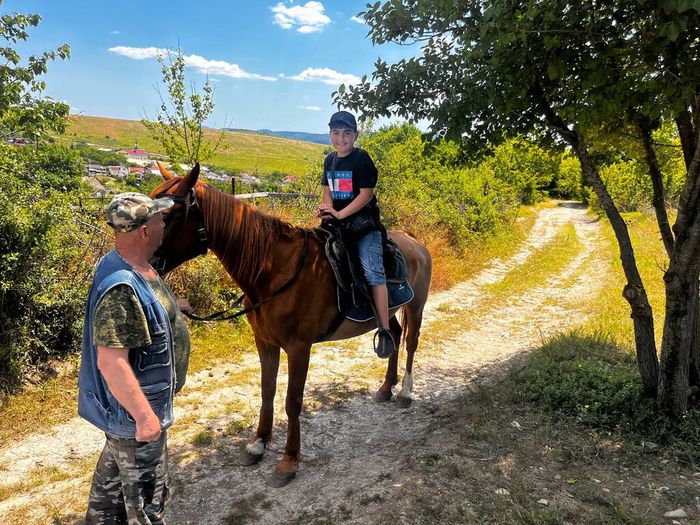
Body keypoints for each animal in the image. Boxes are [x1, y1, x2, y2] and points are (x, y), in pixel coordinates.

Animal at [150, 162, 430, 486]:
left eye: (168, 215)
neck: (272, 271)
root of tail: (413, 240)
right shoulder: (265, 342)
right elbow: (267, 391)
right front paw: (258, 444)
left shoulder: (299, 348)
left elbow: (292, 401)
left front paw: (288, 461)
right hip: (390, 311)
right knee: (393, 335)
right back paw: (386, 388)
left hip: (416, 306)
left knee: (411, 342)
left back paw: (405, 392)